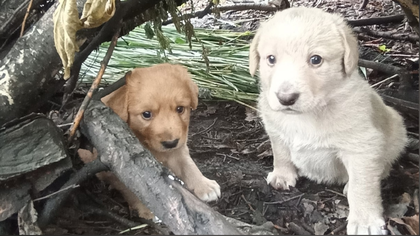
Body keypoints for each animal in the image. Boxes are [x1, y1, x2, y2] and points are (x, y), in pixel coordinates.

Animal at [81, 63, 221, 219]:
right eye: (146, 114)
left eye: (180, 109)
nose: (170, 143)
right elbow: (134, 189)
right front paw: (147, 210)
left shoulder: (179, 149)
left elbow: (189, 165)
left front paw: (205, 185)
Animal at [249, 6, 406, 234]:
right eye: (271, 59)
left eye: (316, 60)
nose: (286, 98)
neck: (309, 114)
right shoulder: (275, 130)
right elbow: (281, 153)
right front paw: (282, 175)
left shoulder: (362, 146)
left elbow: (362, 186)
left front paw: (365, 221)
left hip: (396, 131)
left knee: (383, 166)